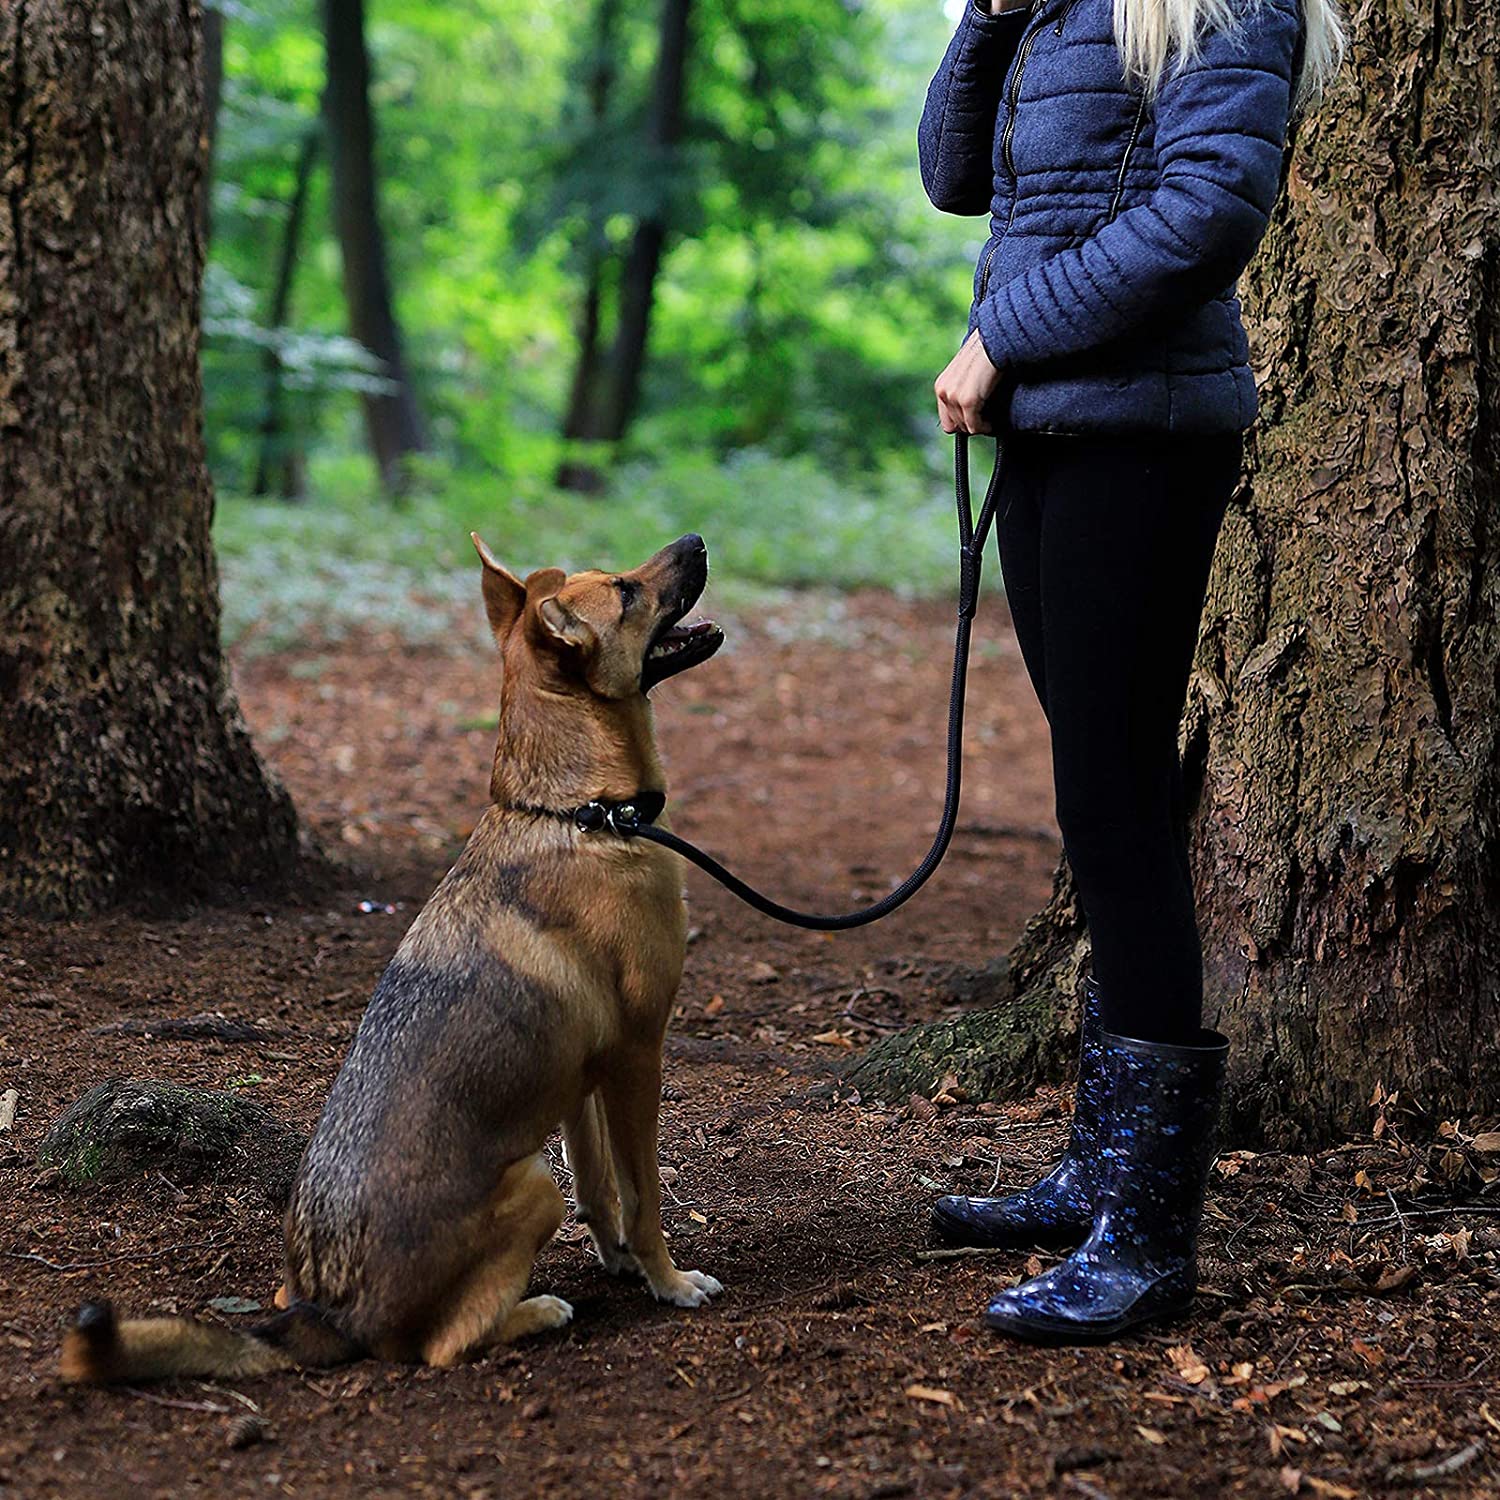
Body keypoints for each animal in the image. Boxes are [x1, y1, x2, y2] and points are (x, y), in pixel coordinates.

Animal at [61, 531, 729, 1380]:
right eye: (625, 590)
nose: (698, 540)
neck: (579, 813)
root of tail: (328, 1310)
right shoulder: (638, 1054)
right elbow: (643, 1197)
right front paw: (667, 1281)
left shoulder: (584, 1074)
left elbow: (601, 1189)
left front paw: (617, 1262)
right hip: (530, 1185)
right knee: (440, 1345)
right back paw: (537, 1311)